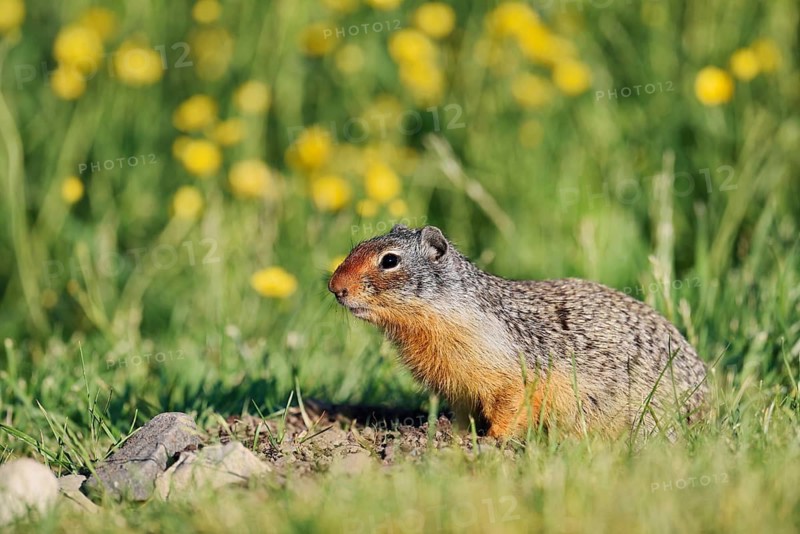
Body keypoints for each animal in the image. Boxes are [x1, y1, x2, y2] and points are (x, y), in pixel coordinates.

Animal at [328, 224, 708, 439]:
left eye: (389, 260)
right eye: (356, 246)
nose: (334, 287)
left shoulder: (513, 374)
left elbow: (511, 408)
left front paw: (491, 442)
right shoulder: (458, 388)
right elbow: (464, 413)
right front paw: (454, 436)